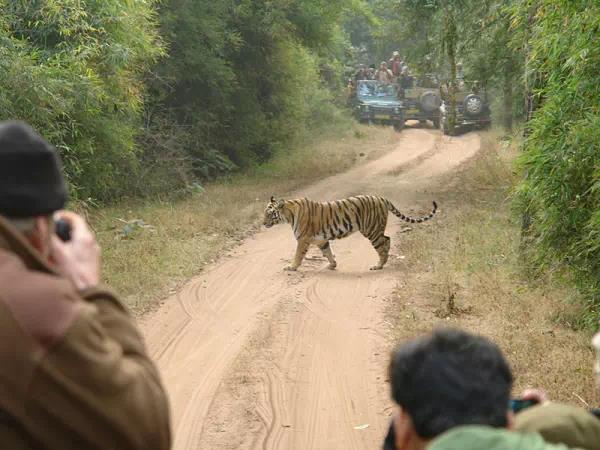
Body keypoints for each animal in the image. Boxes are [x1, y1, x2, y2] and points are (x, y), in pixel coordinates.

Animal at [262, 194, 436, 270]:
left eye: (269, 213)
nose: (263, 223)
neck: (288, 214)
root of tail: (381, 198)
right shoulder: (321, 239)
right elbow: (327, 251)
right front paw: (332, 265)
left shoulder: (303, 239)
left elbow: (298, 255)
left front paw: (291, 267)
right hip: (374, 230)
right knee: (387, 239)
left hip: (371, 230)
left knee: (384, 242)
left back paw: (379, 265)